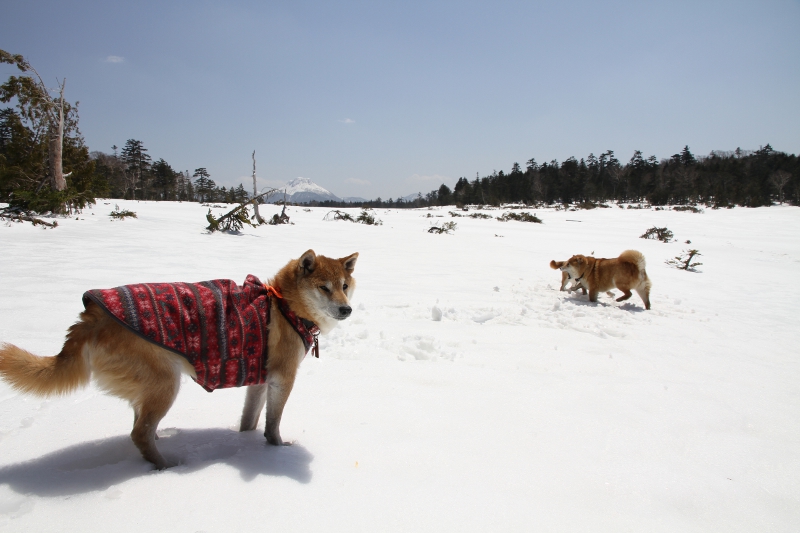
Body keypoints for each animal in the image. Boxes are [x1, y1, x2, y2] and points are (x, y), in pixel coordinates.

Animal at [0, 249, 358, 466]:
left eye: (344, 285)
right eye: (324, 287)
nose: (347, 310)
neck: (284, 305)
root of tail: (92, 317)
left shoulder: (258, 382)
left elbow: (250, 420)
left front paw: (243, 442)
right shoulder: (282, 379)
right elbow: (273, 424)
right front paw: (276, 449)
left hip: (150, 387)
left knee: (140, 425)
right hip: (166, 384)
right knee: (138, 433)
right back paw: (165, 465)